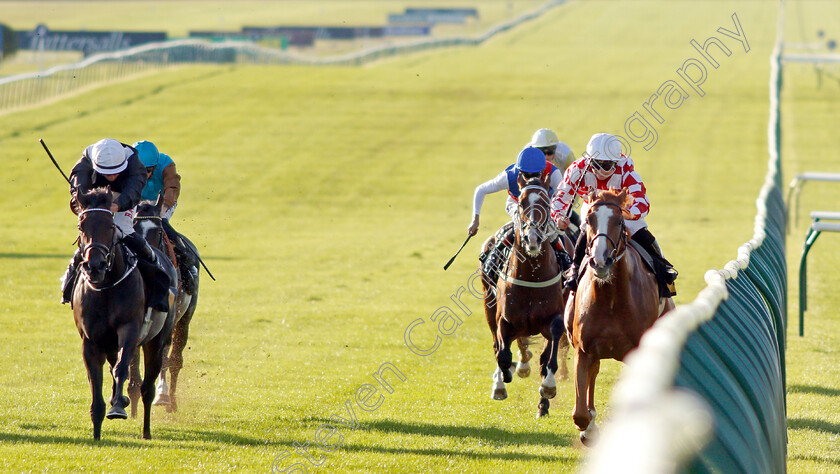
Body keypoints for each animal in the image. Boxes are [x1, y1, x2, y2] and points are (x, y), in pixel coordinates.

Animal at [480, 176, 572, 416]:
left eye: (547, 203)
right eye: (521, 203)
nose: (532, 238)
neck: (532, 275)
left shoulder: (555, 317)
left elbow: (549, 357)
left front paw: (548, 389)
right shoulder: (504, 319)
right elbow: (502, 354)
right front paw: (504, 377)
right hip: (488, 304)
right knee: (498, 345)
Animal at [564, 190, 676, 444]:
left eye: (618, 221)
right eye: (589, 221)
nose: (601, 260)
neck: (611, 298)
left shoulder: (636, 352)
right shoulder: (583, 350)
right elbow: (580, 413)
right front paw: (588, 429)